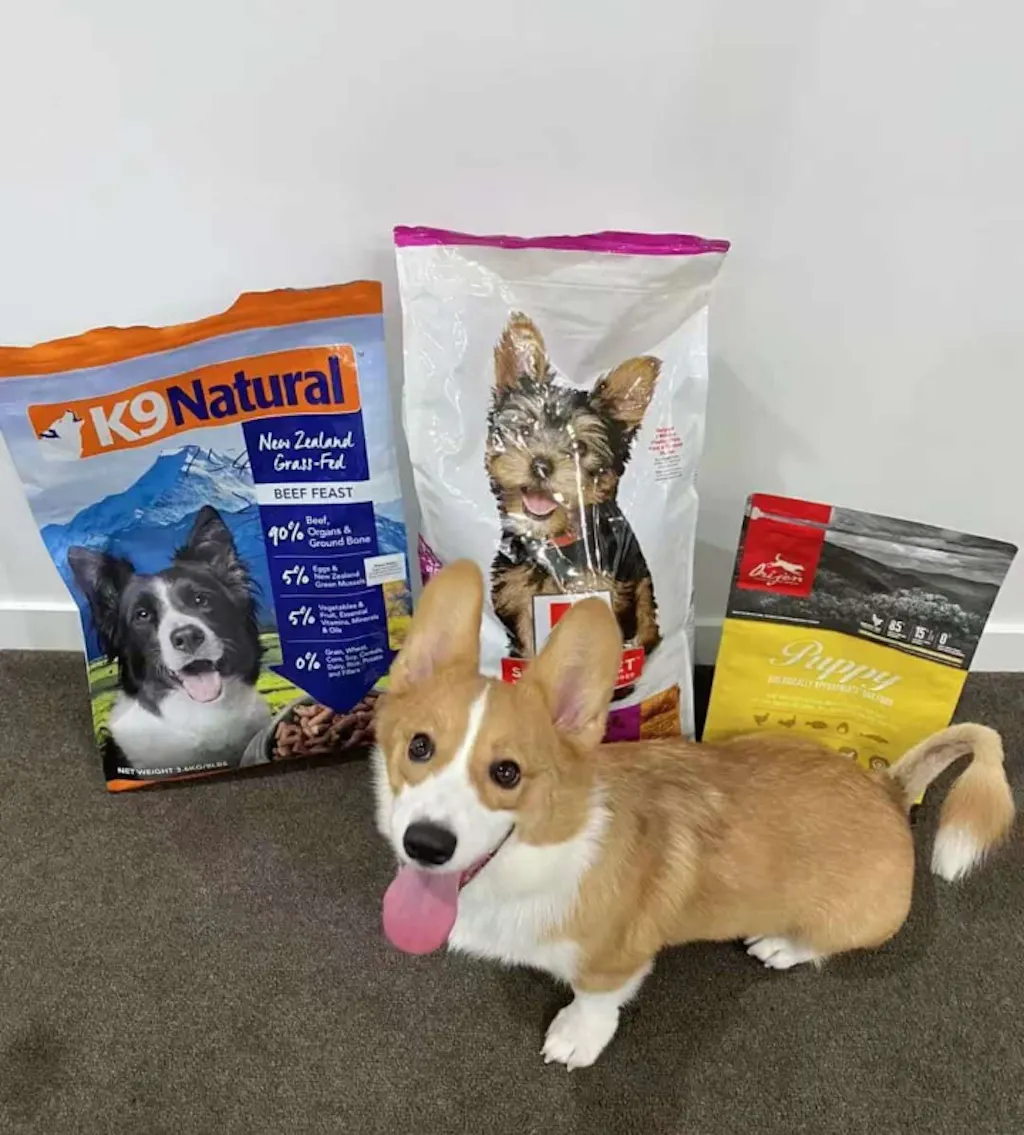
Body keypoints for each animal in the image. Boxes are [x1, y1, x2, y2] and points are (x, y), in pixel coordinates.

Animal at [373, 561, 1015, 1069]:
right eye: (419, 747)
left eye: (507, 772)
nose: (424, 844)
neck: (547, 854)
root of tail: (888, 789)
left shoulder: (618, 961)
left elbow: (594, 1000)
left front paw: (575, 1038)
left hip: (852, 921)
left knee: (824, 943)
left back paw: (780, 946)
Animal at [486, 313, 661, 662]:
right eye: (525, 431)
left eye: (580, 448)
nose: (541, 465)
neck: (555, 541)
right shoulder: (519, 594)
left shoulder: (607, 588)